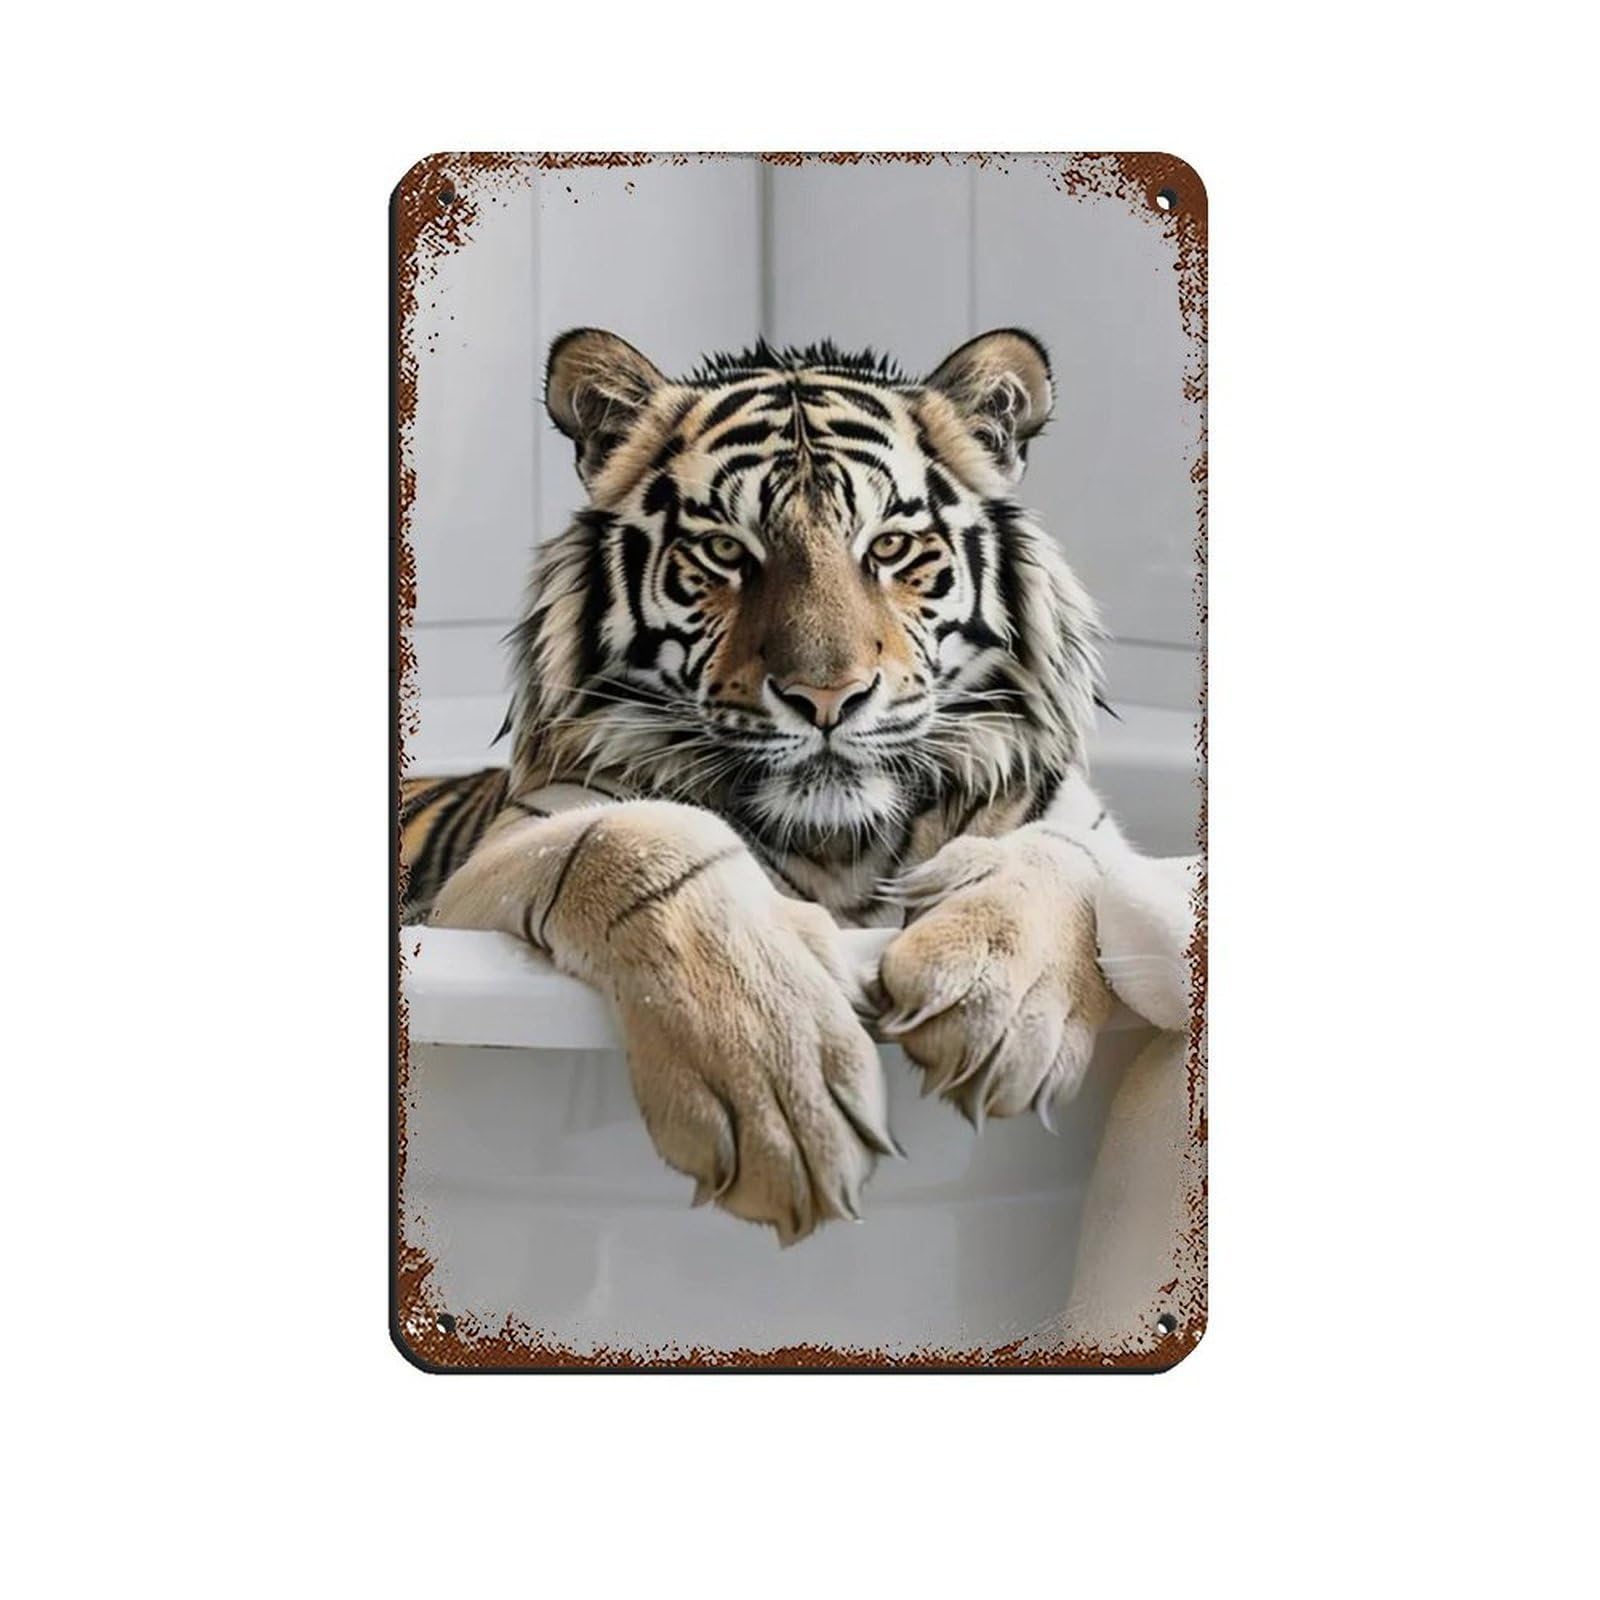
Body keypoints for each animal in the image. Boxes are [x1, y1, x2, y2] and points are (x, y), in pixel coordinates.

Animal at [404, 325, 1152, 1245]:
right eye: (727, 551)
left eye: (889, 548)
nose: (826, 697)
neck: (843, 842)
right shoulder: (512, 848)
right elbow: (644, 846)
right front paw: (778, 1105)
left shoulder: (1078, 822)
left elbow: (1062, 851)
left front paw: (997, 1007)